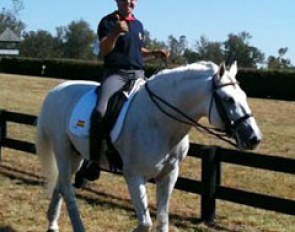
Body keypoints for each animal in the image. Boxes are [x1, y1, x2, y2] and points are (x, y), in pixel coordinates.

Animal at [37, 60, 264, 231]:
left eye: (244, 96)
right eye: (228, 99)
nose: (254, 138)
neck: (160, 122)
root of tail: (55, 91)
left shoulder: (169, 175)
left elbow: (162, 220)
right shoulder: (134, 176)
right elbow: (146, 223)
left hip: (75, 154)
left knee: (61, 185)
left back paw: (52, 224)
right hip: (62, 150)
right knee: (67, 188)